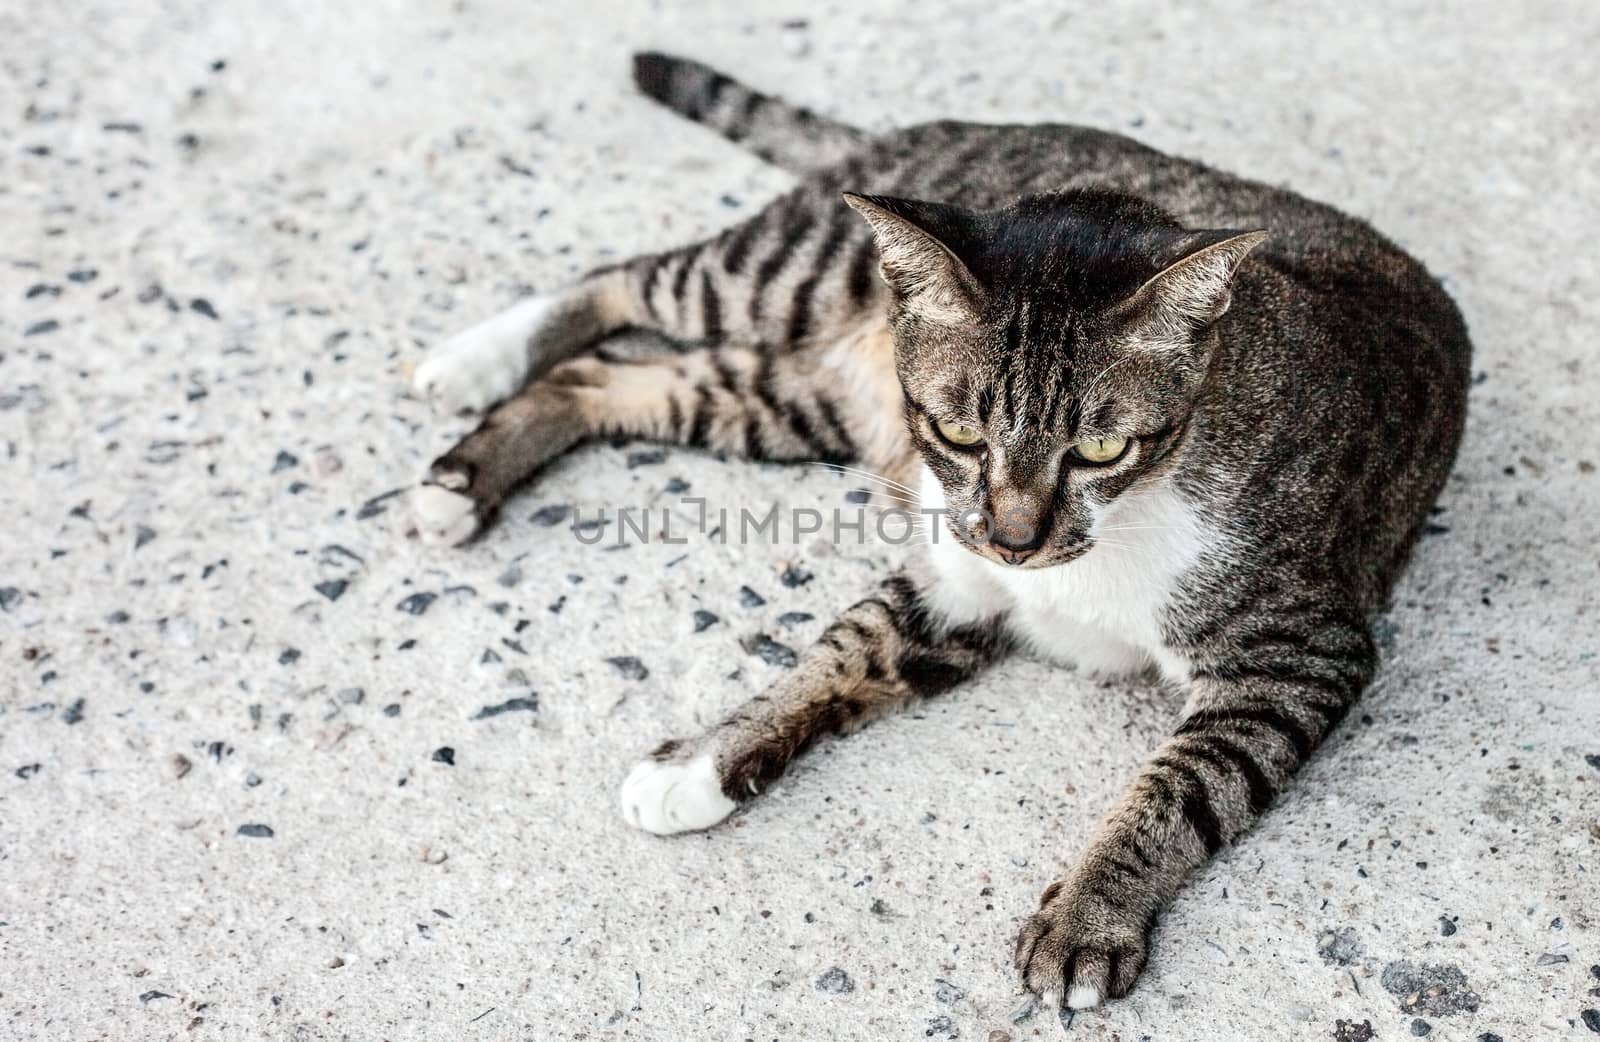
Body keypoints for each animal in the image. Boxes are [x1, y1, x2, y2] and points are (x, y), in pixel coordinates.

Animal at [403, 51, 1472, 1011]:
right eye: (958, 432)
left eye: (1101, 446)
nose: (1013, 539)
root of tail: (930, 133)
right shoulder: (959, 574)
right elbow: (833, 652)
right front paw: (706, 754)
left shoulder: (1295, 650)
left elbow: (1183, 785)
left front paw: (1085, 916)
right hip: (789, 278)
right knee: (631, 277)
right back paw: (473, 362)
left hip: (794, 399)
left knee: (608, 377)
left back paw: (468, 466)